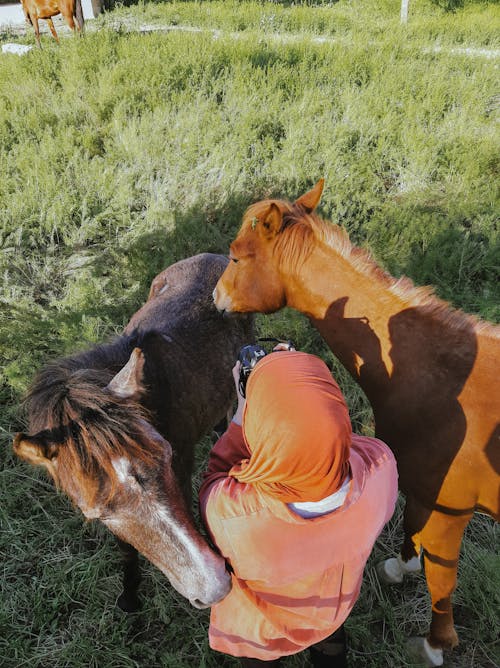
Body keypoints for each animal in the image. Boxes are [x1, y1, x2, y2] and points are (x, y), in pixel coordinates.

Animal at [13, 254, 254, 612]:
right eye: (97, 512)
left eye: (166, 457)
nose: (215, 586)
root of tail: (212, 257)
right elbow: (126, 549)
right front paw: (129, 595)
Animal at [214, 183, 500, 668]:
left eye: (236, 257)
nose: (215, 297)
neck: (432, 374)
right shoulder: (420, 489)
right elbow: (411, 529)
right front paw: (399, 569)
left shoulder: (450, 510)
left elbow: (442, 579)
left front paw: (435, 645)